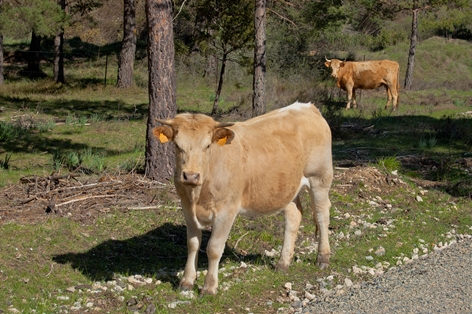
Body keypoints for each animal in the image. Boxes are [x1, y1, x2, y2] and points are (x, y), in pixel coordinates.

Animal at [153, 102, 334, 296]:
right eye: (177, 145)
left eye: (207, 146)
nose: (191, 175)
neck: (197, 194)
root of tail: (306, 106)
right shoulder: (187, 208)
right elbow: (192, 244)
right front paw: (186, 282)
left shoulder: (227, 210)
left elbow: (214, 248)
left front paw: (209, 287)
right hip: (288, 187)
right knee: (293, 217)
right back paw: (283, 263)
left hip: (320, 178)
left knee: (322, 215)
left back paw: (323, 258)